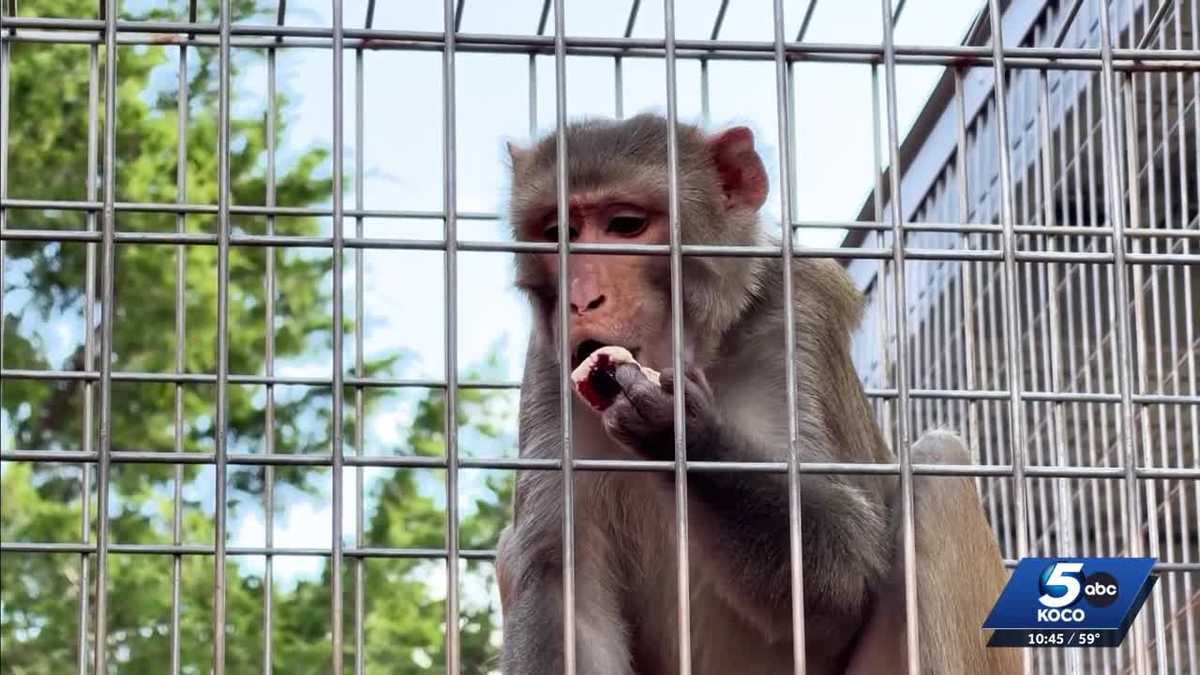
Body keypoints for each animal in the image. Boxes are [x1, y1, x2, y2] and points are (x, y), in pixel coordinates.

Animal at [495, 113, 1019, 675]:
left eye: (626, 225)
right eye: (559, 234)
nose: (580, 301)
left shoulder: (797, 317)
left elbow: (842, 575)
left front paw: (682, 432)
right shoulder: (548, 370)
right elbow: (562, 584)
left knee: (938, 466)